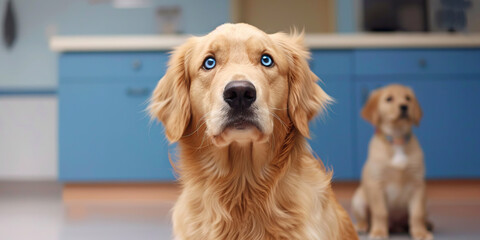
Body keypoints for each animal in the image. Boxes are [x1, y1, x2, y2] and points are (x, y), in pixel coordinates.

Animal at [350, 83, 434, 239]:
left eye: (408, 98)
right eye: (389, 99)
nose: (404, 107)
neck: (397, 140)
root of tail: (396, 226)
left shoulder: (418, 184)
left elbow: (416, 214)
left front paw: (420, 233)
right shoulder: (376, 184)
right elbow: (380, 212)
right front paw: (378, 232)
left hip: (426, 202)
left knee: (418, 217)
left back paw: (427, 225)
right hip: (358, 200)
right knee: (365, 219)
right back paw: (362, 227)